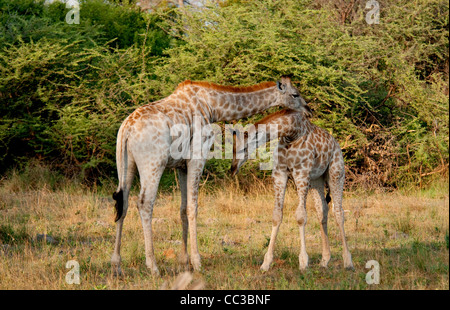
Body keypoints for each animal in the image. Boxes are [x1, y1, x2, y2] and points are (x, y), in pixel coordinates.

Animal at [110, 76, 308, 274]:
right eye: (295, 94)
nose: (309, 109)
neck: (213, 106)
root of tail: (127, 129)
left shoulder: (181, 165)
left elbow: (182, 209)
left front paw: (184, 261)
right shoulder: (198, 157)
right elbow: (193, 208)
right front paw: (197, 262)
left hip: (126, 164)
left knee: (123, 203)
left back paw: (117, 265)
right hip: (153, 164)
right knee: (145, 203)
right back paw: (153, 266)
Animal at [232, 108, 356, 270]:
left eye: (244, 148)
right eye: (232, 149)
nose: (233, 168)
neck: (291, 134)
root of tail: (336, 144)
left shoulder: (301, 173)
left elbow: (301, 216)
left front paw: (303, 262)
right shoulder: (279, 173)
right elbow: (277, 215)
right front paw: (266, 263)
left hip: (336, 173)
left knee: (339, 212)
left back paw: (348, 262)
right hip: (316, 180)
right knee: (322, 210)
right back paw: (325, 260)